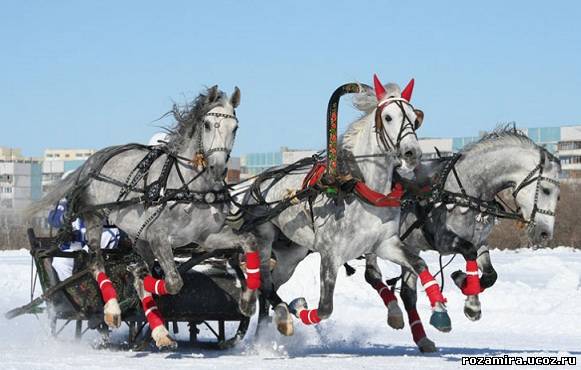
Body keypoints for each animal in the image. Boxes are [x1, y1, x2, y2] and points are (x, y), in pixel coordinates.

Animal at [28, 85, 260, 348]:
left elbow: (249, 241)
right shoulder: (159, 236)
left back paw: (159, 329)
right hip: (95, 217)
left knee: (142, 269)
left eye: (235, 127)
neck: (187, 188)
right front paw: (137, 282)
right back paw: (113, 309)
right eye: (208, 124)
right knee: (96, 260)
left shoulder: (207, 237)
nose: (217, 169)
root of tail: (91, 160)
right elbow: (173, 282)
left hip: (137, 235)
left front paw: (247, 301)